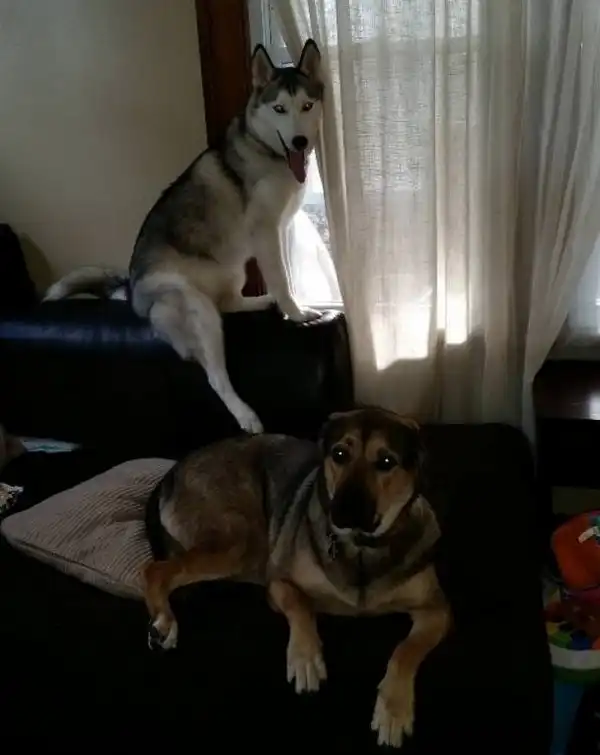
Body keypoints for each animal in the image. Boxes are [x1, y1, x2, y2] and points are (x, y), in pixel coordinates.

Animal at [44, 39, 325, 434]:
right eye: (280, 108)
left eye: (307, 106)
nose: (299, 140)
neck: (268, 152)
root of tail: (132, 296)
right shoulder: (265, 231)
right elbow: (282, 279)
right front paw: (296, 313)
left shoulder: (279, 228)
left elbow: (283, 276)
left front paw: (288, 303)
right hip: (195, 306)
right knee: (215, 374)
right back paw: (246, 415)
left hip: (231, 271)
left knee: (228, 303)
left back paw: (260, 302)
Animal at [143, 406, 451, 748]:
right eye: (339, 454)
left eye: (386, 462)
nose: (343, 510)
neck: (360, 550)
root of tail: (174, 469)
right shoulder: (278, 583)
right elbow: (301, 606)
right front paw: (305, 658)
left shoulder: (436, 610)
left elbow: (406, 650)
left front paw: (394, 710)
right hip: (242, 543)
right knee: (154, 570)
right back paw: (164, 623)